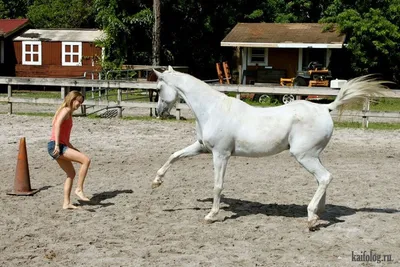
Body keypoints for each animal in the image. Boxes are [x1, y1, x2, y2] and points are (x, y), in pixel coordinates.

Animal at [151, 67, 388, 230]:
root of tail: (325, 108)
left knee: (325, 177)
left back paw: (311, 217)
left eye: (159, 88)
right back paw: (318, 213)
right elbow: (174, 155)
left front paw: (211, 215)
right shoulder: (202, 148)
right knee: (323, 179)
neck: (212, 110)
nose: (160, 112)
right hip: (312, 156)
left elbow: (218, 186)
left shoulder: (221, 155)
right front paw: (156, 182)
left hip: (304, 156)